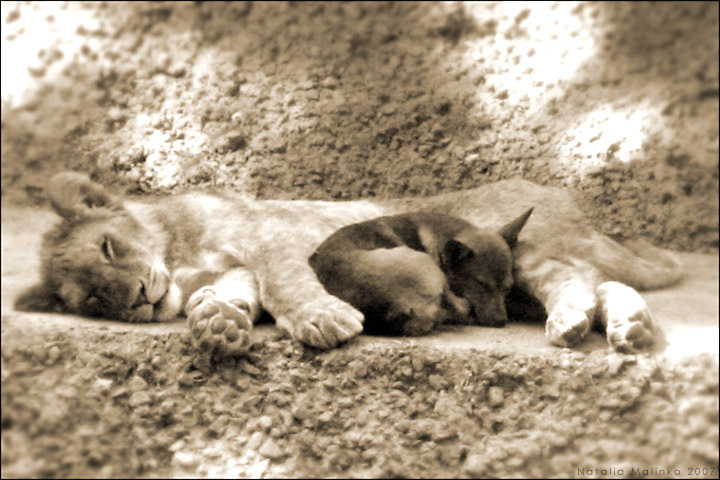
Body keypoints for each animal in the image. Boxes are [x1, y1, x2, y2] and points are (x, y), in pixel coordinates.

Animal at [15, 172, 683, 355]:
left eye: (108, 247)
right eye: (91, 299)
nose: (135, 298)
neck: (177, 259)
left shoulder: (271, 235)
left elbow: (286, 283)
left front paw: (322, 321)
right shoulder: (236, 267)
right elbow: (235, 292)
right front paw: (218, 322)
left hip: (529, 251)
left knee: (583, 278)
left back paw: (585, 322)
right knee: (600, 281)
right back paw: (627, 328)